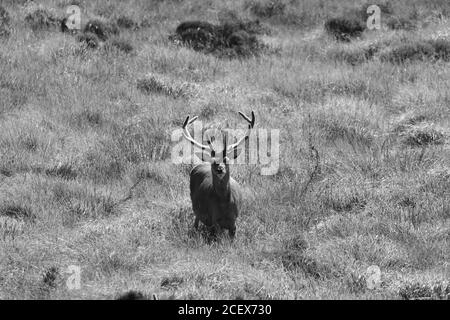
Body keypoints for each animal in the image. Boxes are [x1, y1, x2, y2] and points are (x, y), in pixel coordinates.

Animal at [181, 111, 255, 239]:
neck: (224, 205)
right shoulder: (214, 220)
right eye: (213, 161)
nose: (220, 169)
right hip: (195, 206)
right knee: (196, 220)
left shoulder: (234, 222)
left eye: (226, 160)